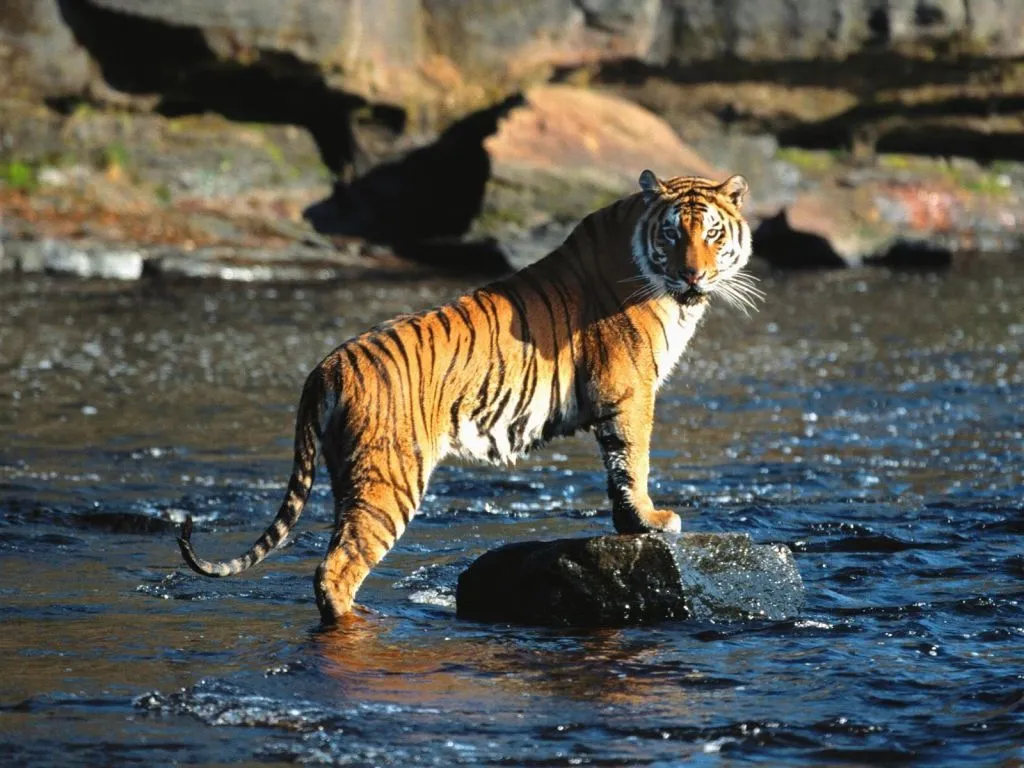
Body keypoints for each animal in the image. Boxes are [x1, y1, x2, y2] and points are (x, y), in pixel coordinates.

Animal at [177, 170, 761, 623]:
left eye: (712, 234)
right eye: (672, 235)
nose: (693, 274)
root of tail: (326, 365)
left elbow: (617, 469)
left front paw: (630, 523)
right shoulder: (630, 388)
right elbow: (632, 461)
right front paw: (651, 520)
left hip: (351, 476)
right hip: (389, 478)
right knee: (335, 570)